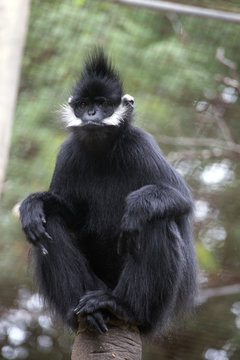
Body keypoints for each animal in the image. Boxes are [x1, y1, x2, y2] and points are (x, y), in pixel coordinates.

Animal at [19, 50, 198, 334]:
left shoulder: (140, 144)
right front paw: (33, 204)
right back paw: (84, 312)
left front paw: (137, 207)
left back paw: (123, 307)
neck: (102, 152)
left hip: (160, 308)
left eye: (103, 104)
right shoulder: (68, 153)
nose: (92, 113)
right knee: (50, 222)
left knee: (154, 221)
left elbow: (182, 200)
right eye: (83, 105)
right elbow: (69, 215)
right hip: (93, 286)